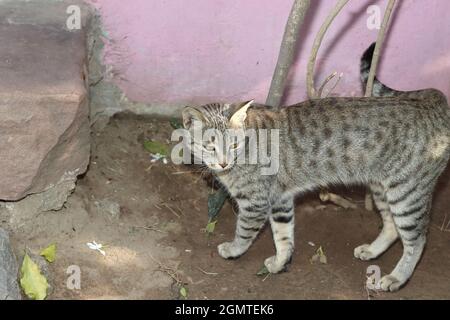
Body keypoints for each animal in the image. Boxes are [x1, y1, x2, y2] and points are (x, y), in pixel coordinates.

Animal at [181, 43, 448, 292]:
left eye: (234, 145)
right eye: (209, 147)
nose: (223, 162)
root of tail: (432, 104)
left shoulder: (255, 203)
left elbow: (244, 232)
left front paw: (233, 249)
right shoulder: (280, 200)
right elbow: (284, 235)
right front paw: (280, 262)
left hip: (407, 194)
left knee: (418, 239)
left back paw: (397, 277)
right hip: (382, 189)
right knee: (392, 226)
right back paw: (372, 251)